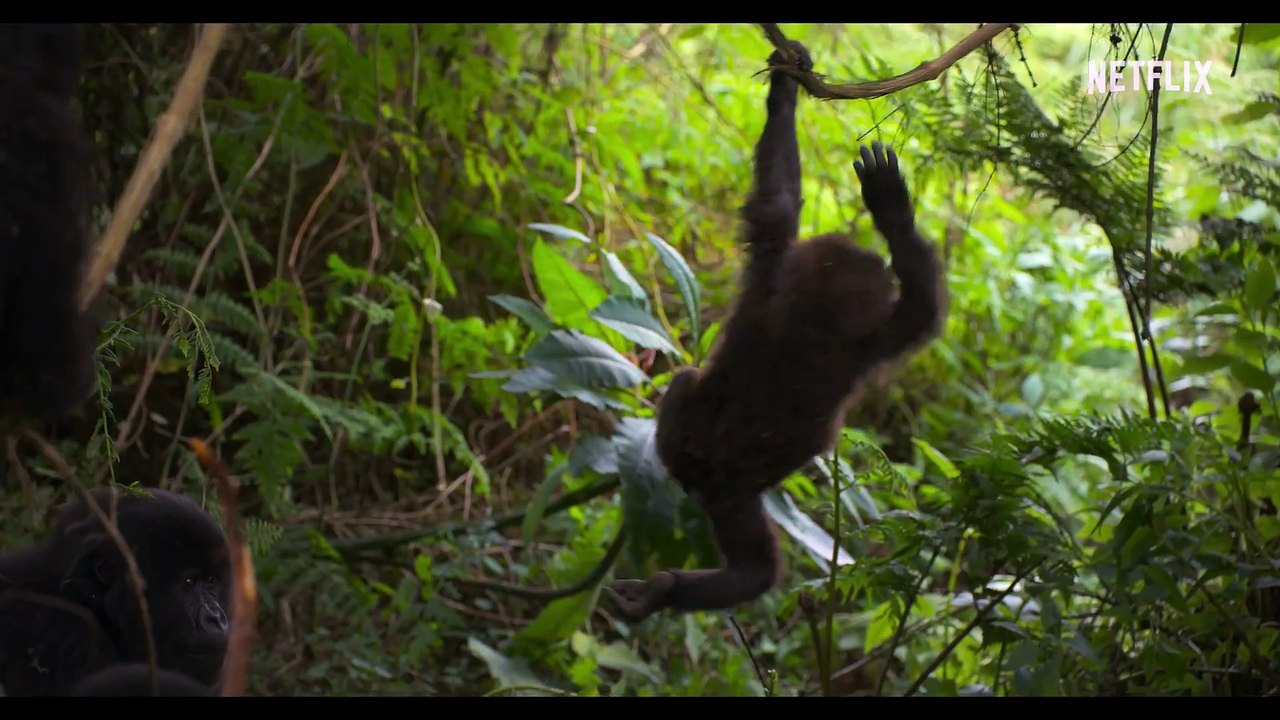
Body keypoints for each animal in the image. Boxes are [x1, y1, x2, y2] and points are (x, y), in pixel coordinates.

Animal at [605, 41, 946, 622]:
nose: (877, 262)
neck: (814, 314)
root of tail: (703, 463)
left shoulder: (779, 270)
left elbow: (778, 202)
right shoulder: (859, 328)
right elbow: (920, 305)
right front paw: (892, 211)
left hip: (715, 479)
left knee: (752, 566)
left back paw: (661, 591)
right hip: (714, 468)